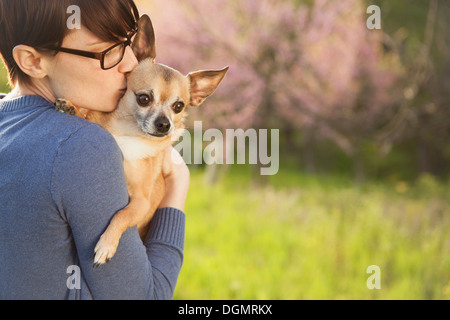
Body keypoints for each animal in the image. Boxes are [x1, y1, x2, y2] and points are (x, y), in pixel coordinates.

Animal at [57, 14, 229, 268]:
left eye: (179, 106)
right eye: (144, 99)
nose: (164, 124)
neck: (128, 134)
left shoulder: (140, 203)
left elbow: (121, 215)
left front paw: (107, 244)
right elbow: (88, 115)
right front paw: (72, 107)